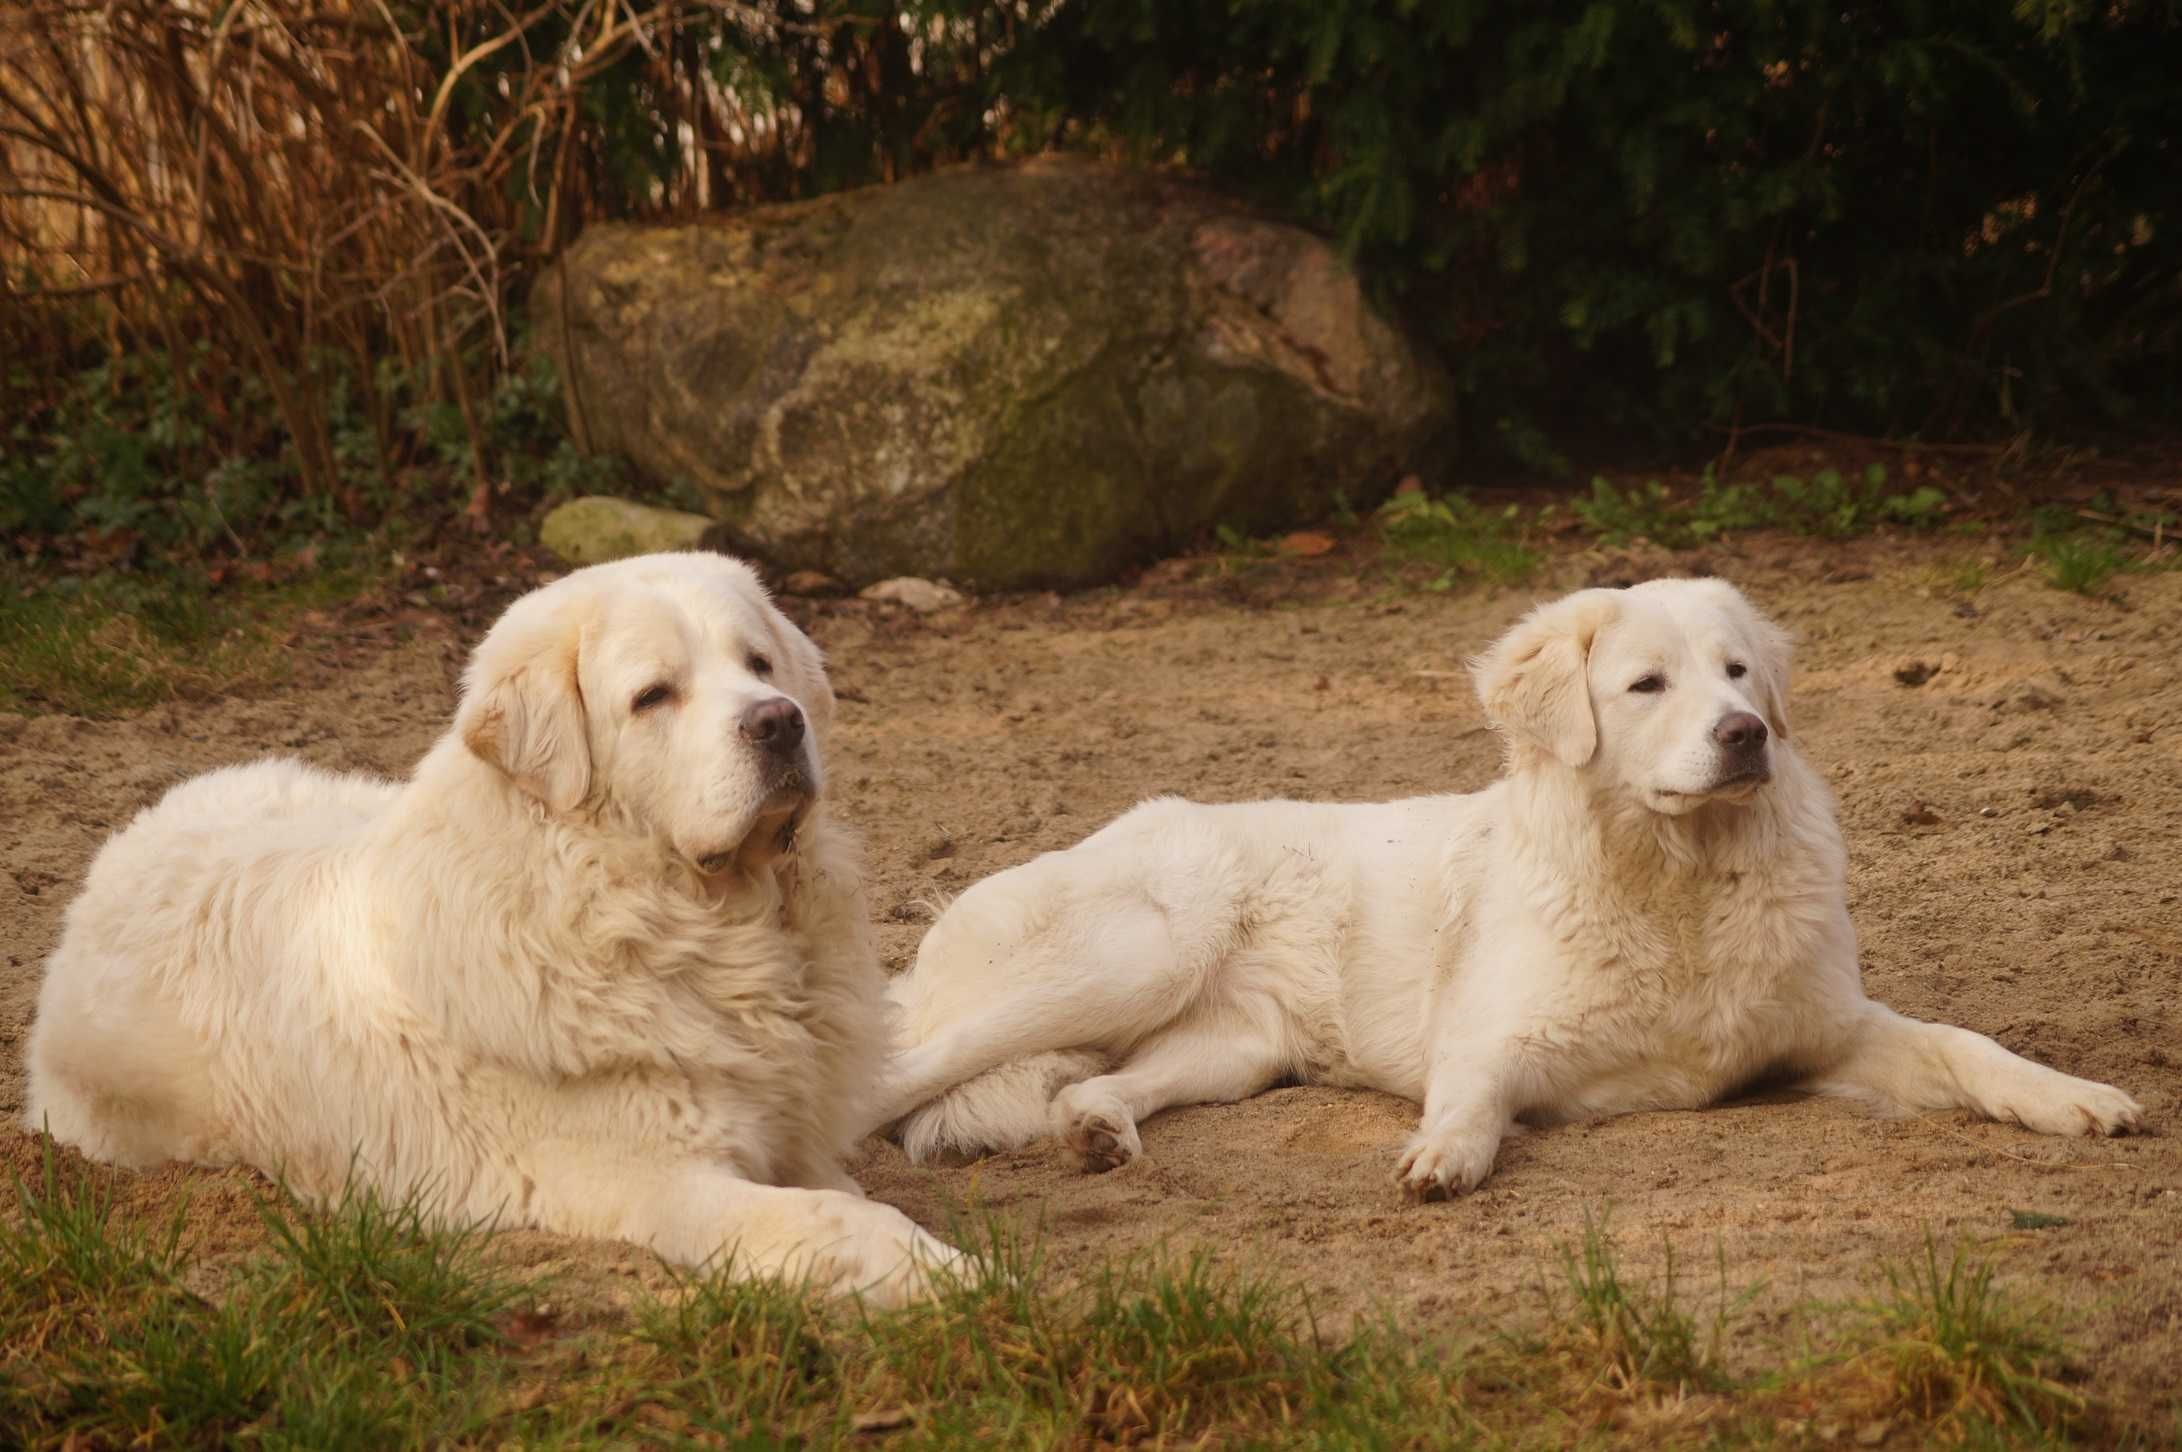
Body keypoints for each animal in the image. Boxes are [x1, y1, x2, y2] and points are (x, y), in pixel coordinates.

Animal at [25, 550, 960, 1292]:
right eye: (653, 696)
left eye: (759, 662)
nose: (779, 720)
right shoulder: (663, 1181)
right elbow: (847, 1221)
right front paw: (961, 1280)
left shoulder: (795, 1134)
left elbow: (846, 1194)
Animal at [877, 572, 2138, 1196]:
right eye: (1646, 685)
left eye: (1738, 673)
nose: (1744, 736)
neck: (1675, 886)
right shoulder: (1492, 1036)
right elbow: (1471, 1094)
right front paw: (1445, 1157)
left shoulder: (1831, 1031)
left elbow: (1968, 1047)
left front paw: (2072, 1098)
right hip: (1132, 954)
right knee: (907, 1071)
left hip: (1232, 1051)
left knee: (1101, 1086)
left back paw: (1095, 1136)